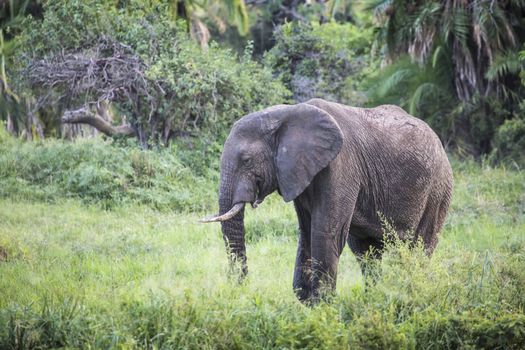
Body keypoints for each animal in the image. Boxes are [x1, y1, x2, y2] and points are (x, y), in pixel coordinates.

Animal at [201, 98, 454, 300]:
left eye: (246, 160)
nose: (242, 286)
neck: (286, 114)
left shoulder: (341, 166)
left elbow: (325, 231)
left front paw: (322, 305)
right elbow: (307, 231)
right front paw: (308, 301)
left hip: (438, 189)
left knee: (419, 248)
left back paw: (414, 292)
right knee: (366, 252)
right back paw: (375, 298)